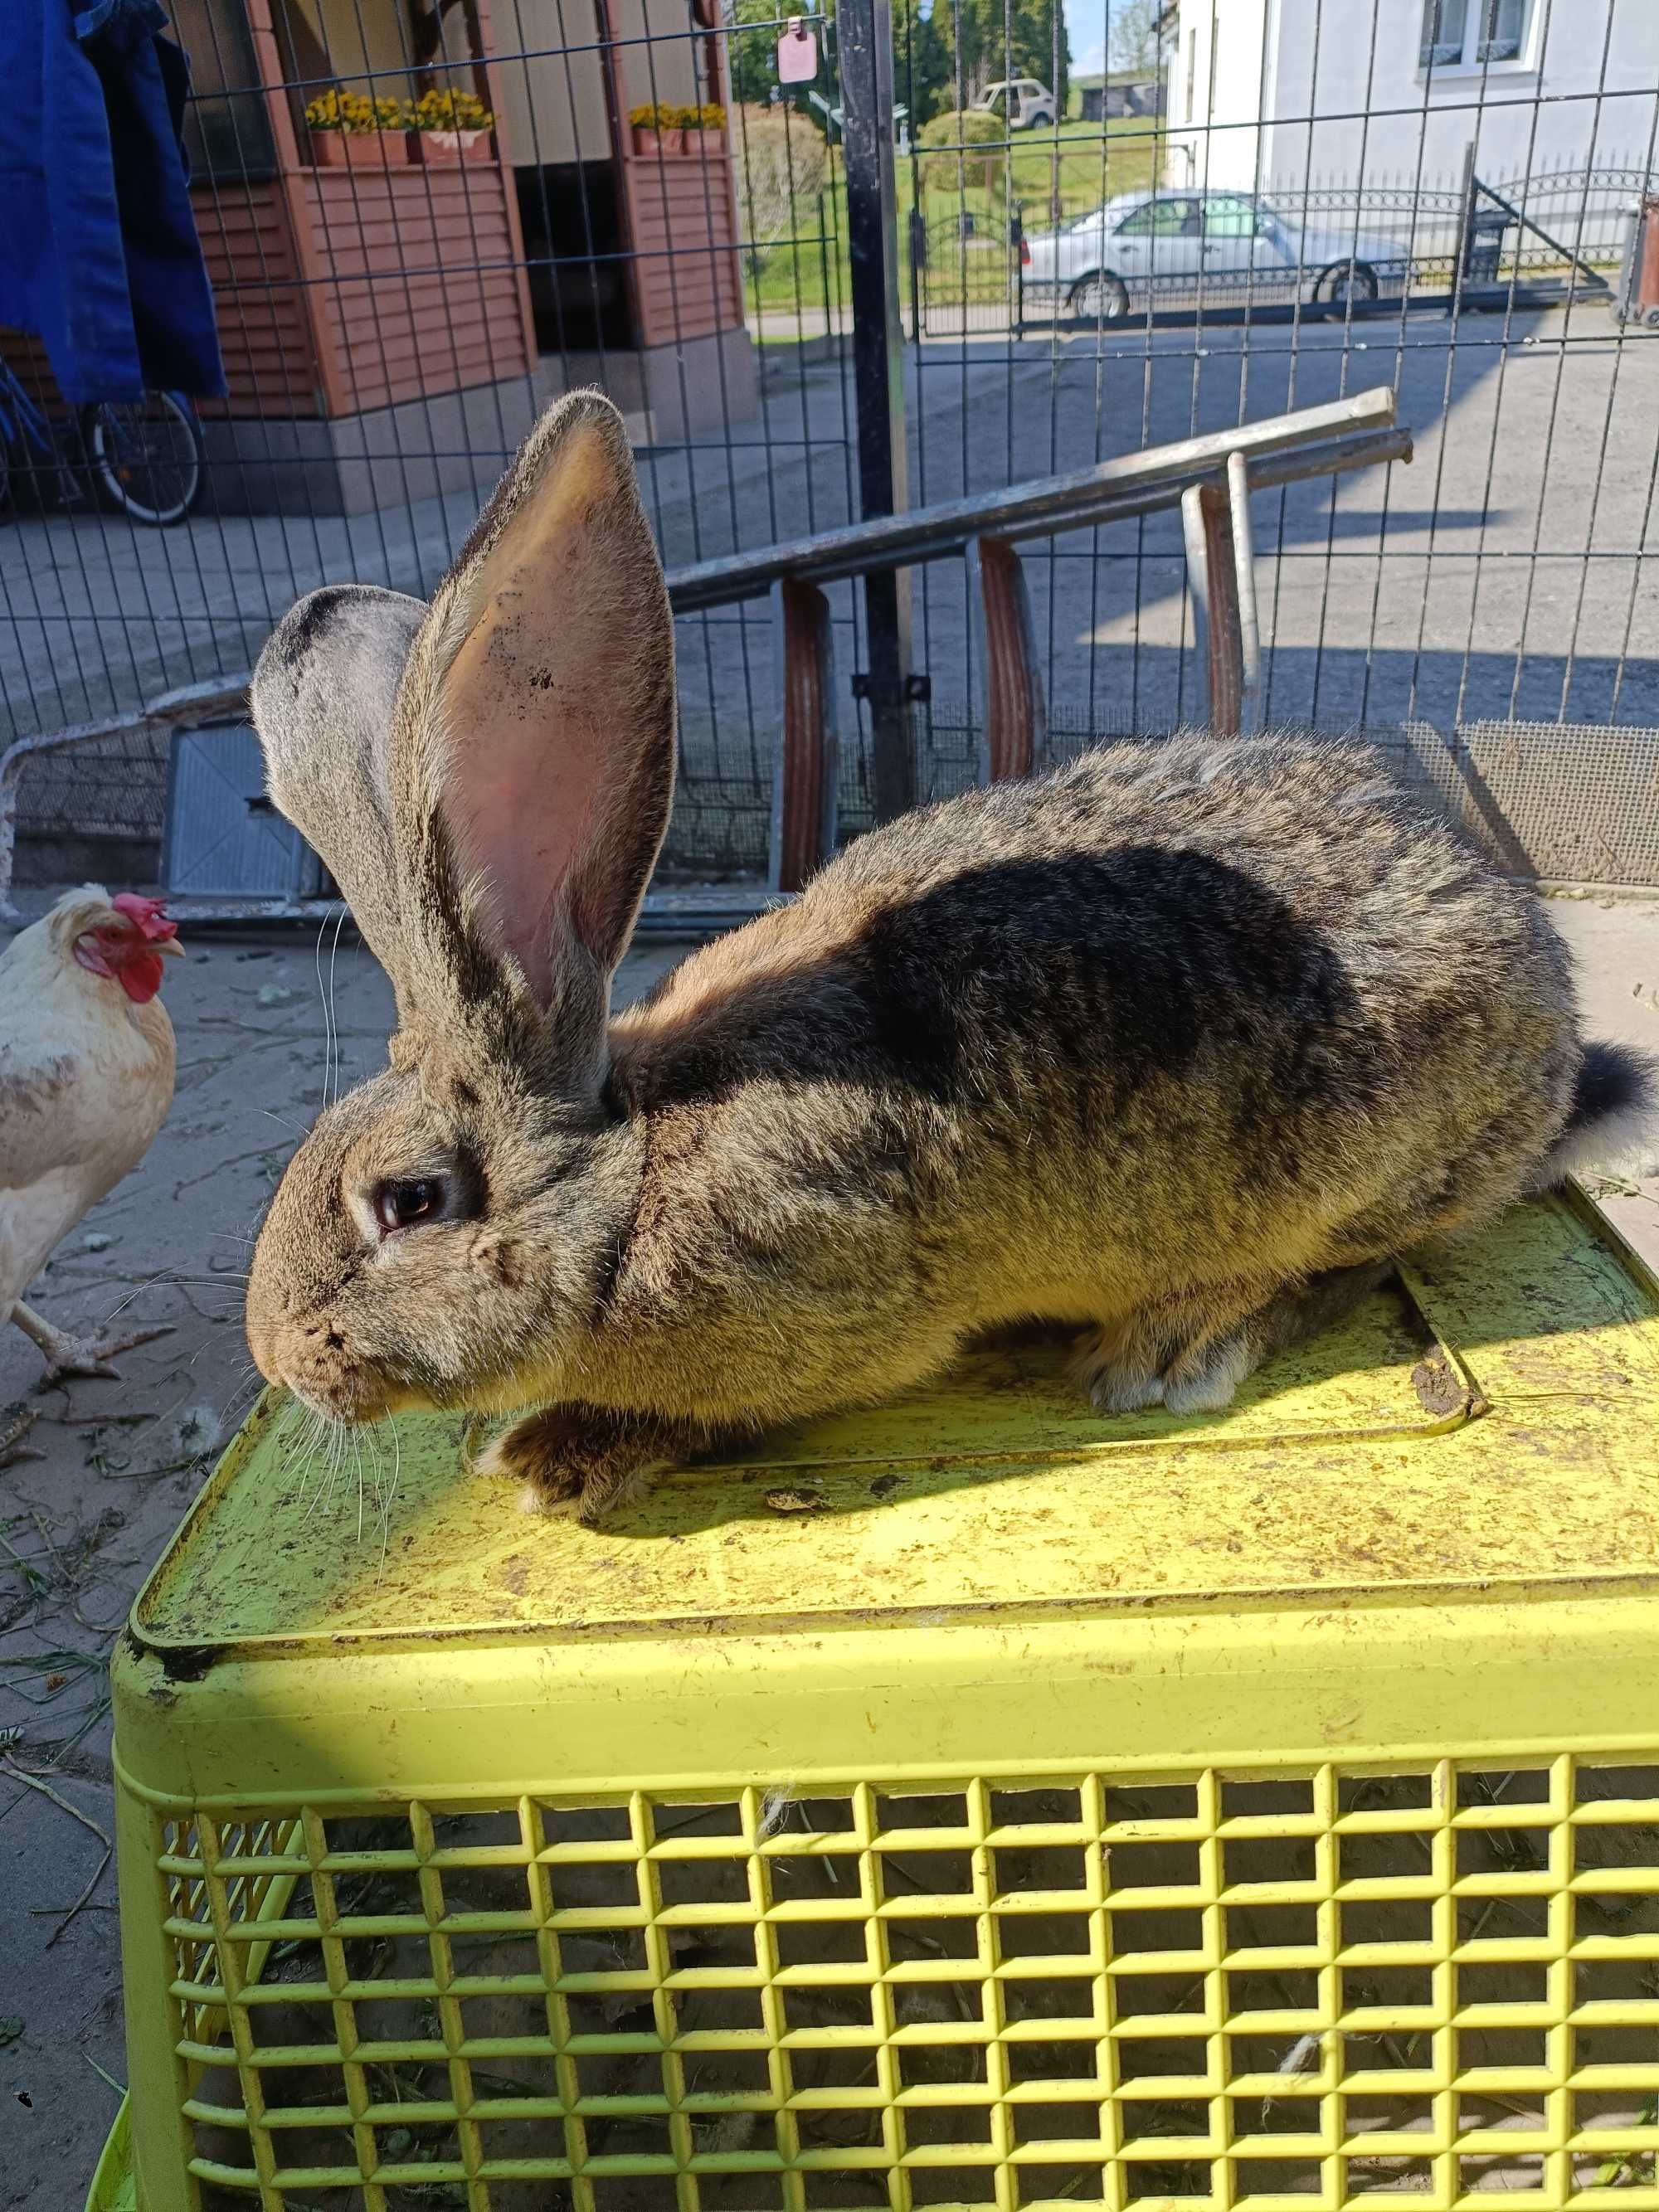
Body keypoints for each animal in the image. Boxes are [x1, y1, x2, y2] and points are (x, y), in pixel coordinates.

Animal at [240, 389, 1654, 1521]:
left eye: (409, 1201)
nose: (278, 1355)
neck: (629, 1178)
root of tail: (1551, 1037)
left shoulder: (830, 1298)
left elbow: (726, 1407)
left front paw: (561, 1453)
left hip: (1360, 1158)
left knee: (1356, 1258)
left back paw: (1172, 1343)